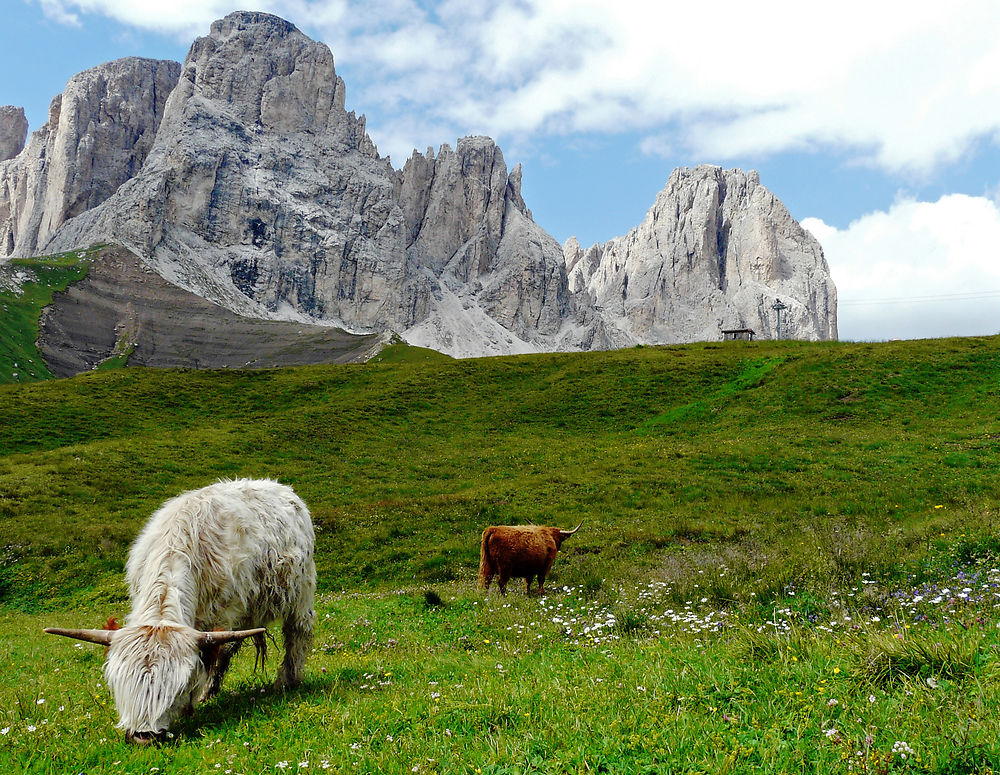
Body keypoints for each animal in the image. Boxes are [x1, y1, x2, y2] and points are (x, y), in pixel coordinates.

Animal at [44, 478, 312, 744]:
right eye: (119, 682)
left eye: (178, 688)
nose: (144, 736)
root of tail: (281, 488)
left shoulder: (221, 617)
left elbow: (213, 656)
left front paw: (194, 701)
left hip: (301, 595)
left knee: (297, 634)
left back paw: (288, 680)